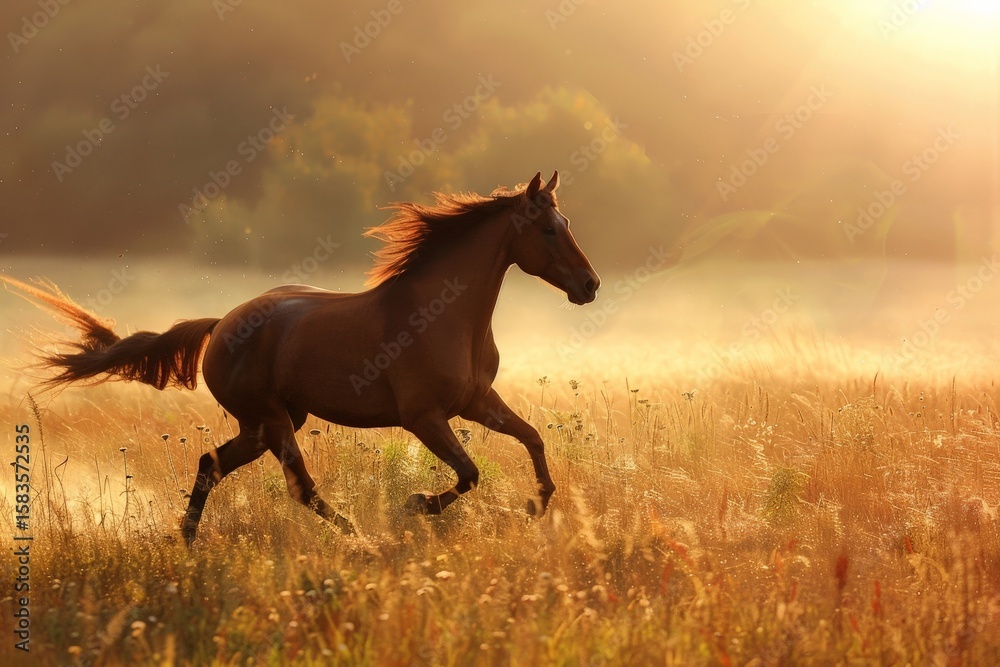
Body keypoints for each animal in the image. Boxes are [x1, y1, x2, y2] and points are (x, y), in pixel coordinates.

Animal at [2, 171, 600, 545]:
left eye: (567, 225)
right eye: (548, 229)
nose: (590, 286)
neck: (445, 316)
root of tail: (222, 324)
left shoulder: (477, 402)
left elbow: (533, 439)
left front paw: (536, 506)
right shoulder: (424, 417)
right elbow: (470, 473)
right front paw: (415, 504)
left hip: (269, 421)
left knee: (211, 465)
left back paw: (188, 541)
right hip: (272, 420)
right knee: (301, 487)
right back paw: (359, 536)